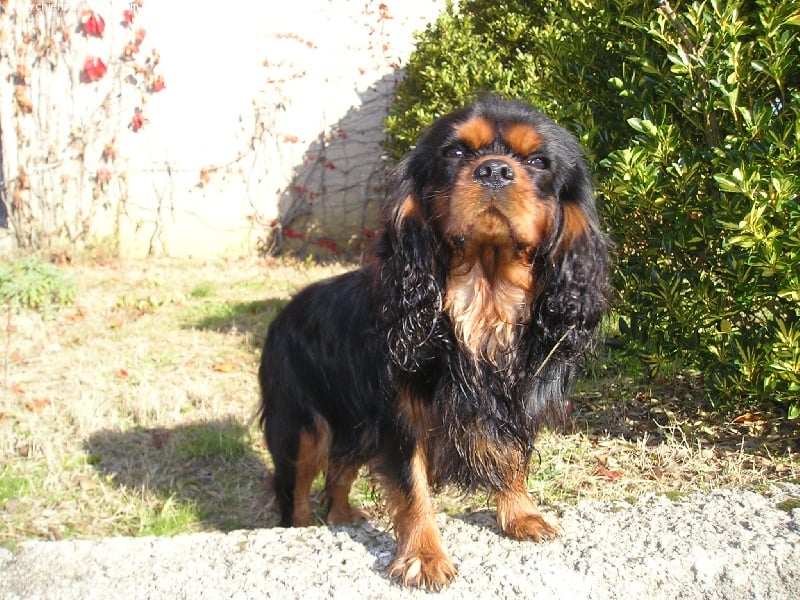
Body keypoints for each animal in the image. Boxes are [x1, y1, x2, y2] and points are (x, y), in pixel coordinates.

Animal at [258, 94, 609, 589]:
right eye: (456, 153)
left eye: (539, 162)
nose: (495, 170)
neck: (483, 297)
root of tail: (284, 311)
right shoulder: (402, 417)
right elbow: (412, 488)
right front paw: (423, 556)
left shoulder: (511, 403)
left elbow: (510, 457)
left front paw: (520, 514)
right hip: (302, 426)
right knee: (299, 488)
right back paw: (304, 529)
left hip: (356, 425)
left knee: (340, 471)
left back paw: (343, 517)